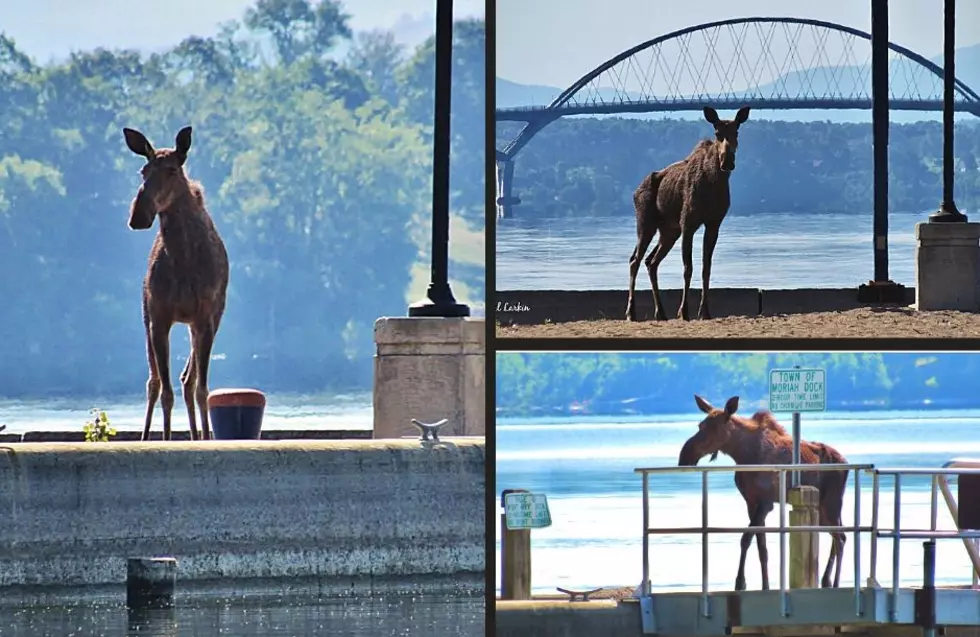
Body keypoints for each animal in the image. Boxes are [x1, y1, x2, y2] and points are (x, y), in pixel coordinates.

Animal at [121, 125, 229, 442]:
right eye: (143, 170)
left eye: (171, 169)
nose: (138, 215)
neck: (183, 256)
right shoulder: (159, 317)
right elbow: (165, 392)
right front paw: (165, 440)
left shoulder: (205, 318)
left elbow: (202, 389)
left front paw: (204, 439)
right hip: (146, 317)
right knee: (155, 382)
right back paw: (148, 437)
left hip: (207, 320)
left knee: (187, 380)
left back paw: (197, 436)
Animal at [628, 107, 752, 322]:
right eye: (717, 133)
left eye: (737, 132)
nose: (727, 161)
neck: (714, 184)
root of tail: (635, 192)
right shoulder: (688, 222)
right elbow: (688, 268)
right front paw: (684, 311)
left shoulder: (713, 223)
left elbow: (706, 268)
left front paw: (705, 311)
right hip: (646, 224)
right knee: (635, 260)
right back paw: (631, 312)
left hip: (669, 231)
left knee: (651, 261)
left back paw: (660, 312)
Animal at [676, 392, 848, 592]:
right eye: (700, 425)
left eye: (714, 427)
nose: (684, 456)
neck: (742, 454)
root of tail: (845, 462)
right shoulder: (751, 502)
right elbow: (761, 547)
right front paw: (764, 585)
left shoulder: (766, 503)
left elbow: (745, 538)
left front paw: (740, 582)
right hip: (822, 509)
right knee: (838, 535)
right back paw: (826, 580)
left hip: (831, 503)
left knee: (840, 537)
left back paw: (834, 582)